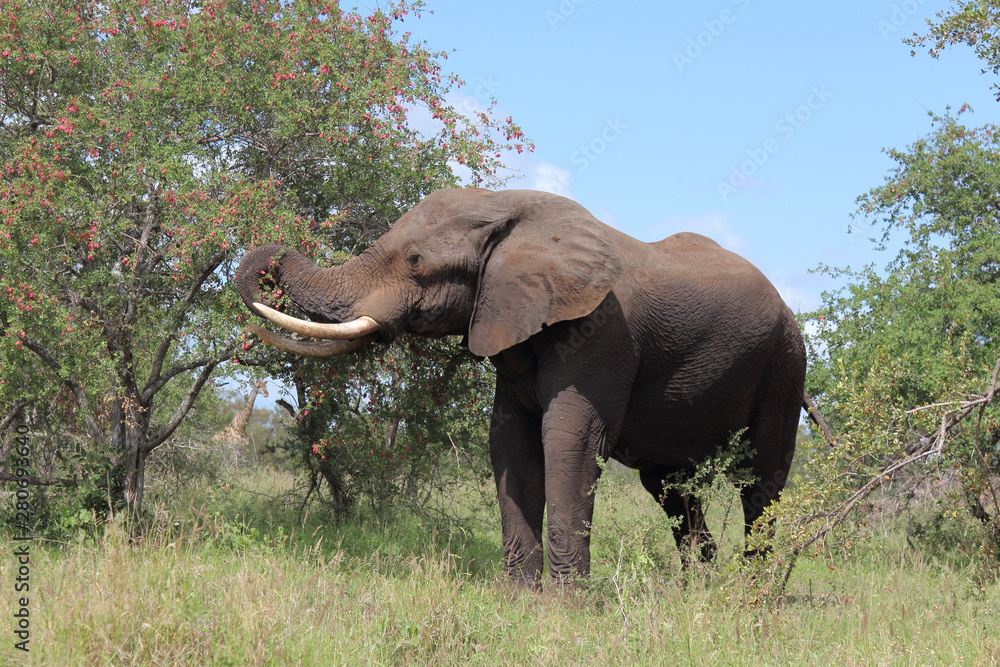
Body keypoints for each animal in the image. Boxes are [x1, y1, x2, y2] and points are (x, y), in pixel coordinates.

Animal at [235, 187, 807, 588]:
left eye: (416, 261)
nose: (268, 268)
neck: (508, 210)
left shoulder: (604, 332)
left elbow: (570, 441)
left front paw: (567, 608)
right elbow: (510, 445)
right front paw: (517, 599)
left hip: (784, 364)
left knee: (760, 482)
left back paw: (752, 596)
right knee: (670, 487)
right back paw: (699, 590)